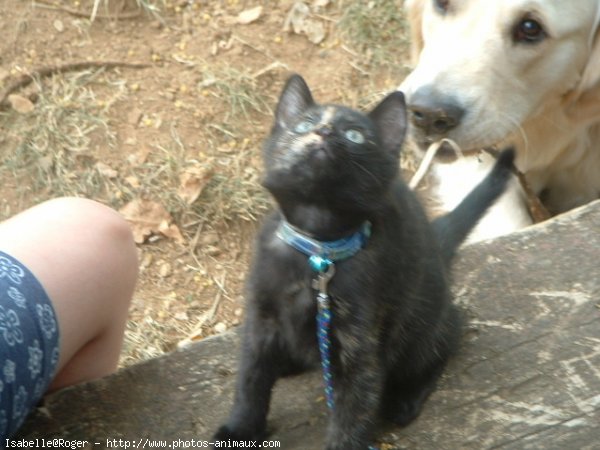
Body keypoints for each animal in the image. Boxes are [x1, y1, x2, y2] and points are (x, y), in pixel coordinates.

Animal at [213, 75, 512, 448]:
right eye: (303, 125)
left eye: (355, 135)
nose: (324, 132)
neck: (318, 248)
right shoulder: (260, 318)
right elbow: (250, 379)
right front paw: (240, 429)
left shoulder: (361, 343)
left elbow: (353, 410)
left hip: (424, 317)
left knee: (444, 340)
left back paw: (405, 398)